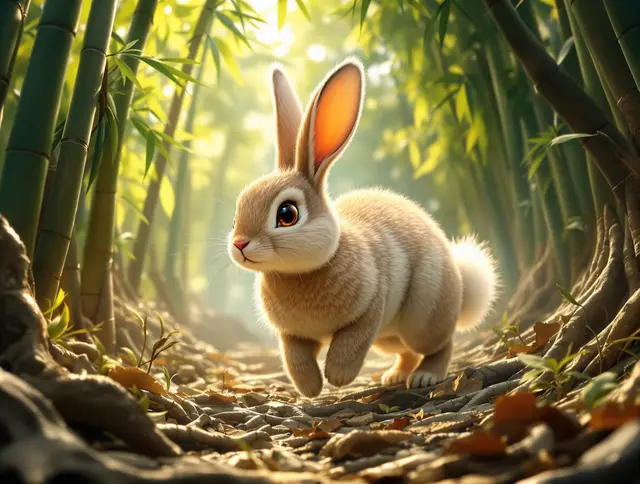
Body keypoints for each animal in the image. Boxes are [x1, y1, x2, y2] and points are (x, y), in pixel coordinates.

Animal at [228, 57, 499, 398]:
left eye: (287, 214)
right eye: (235, 216)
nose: (239, 244)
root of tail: (461, 285)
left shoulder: (371, 307)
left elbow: (350, 344)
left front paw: (338, 376)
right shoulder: (292, 335)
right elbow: (295, 359)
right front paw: (311, 388)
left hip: (422, 317)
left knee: (441, 344)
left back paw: (424, 377)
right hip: (388, 338)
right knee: (406, 352)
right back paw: (395, 376)